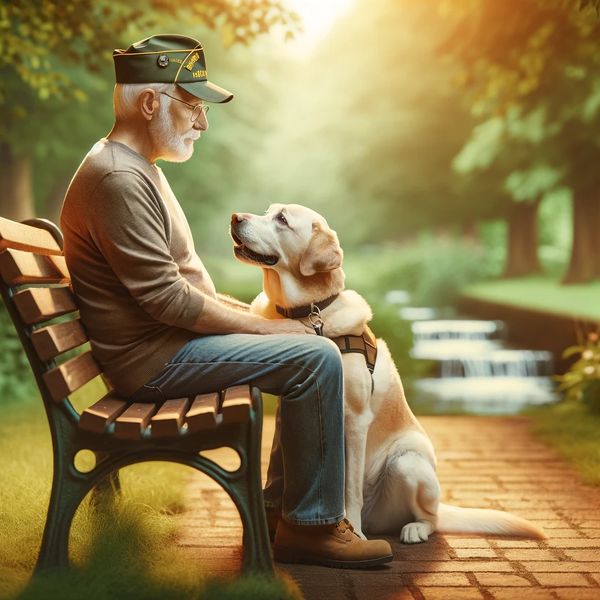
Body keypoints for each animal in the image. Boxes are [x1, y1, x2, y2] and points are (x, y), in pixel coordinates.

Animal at [229, 203, 544, 544]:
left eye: (282, 220)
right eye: (268, 211)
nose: (235, 217)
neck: (307, 313)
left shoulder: (354, 420)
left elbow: (349, 490)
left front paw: (352, 531)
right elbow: (281, 471)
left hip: (407, 463)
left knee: (431, 518)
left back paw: (411, 529)